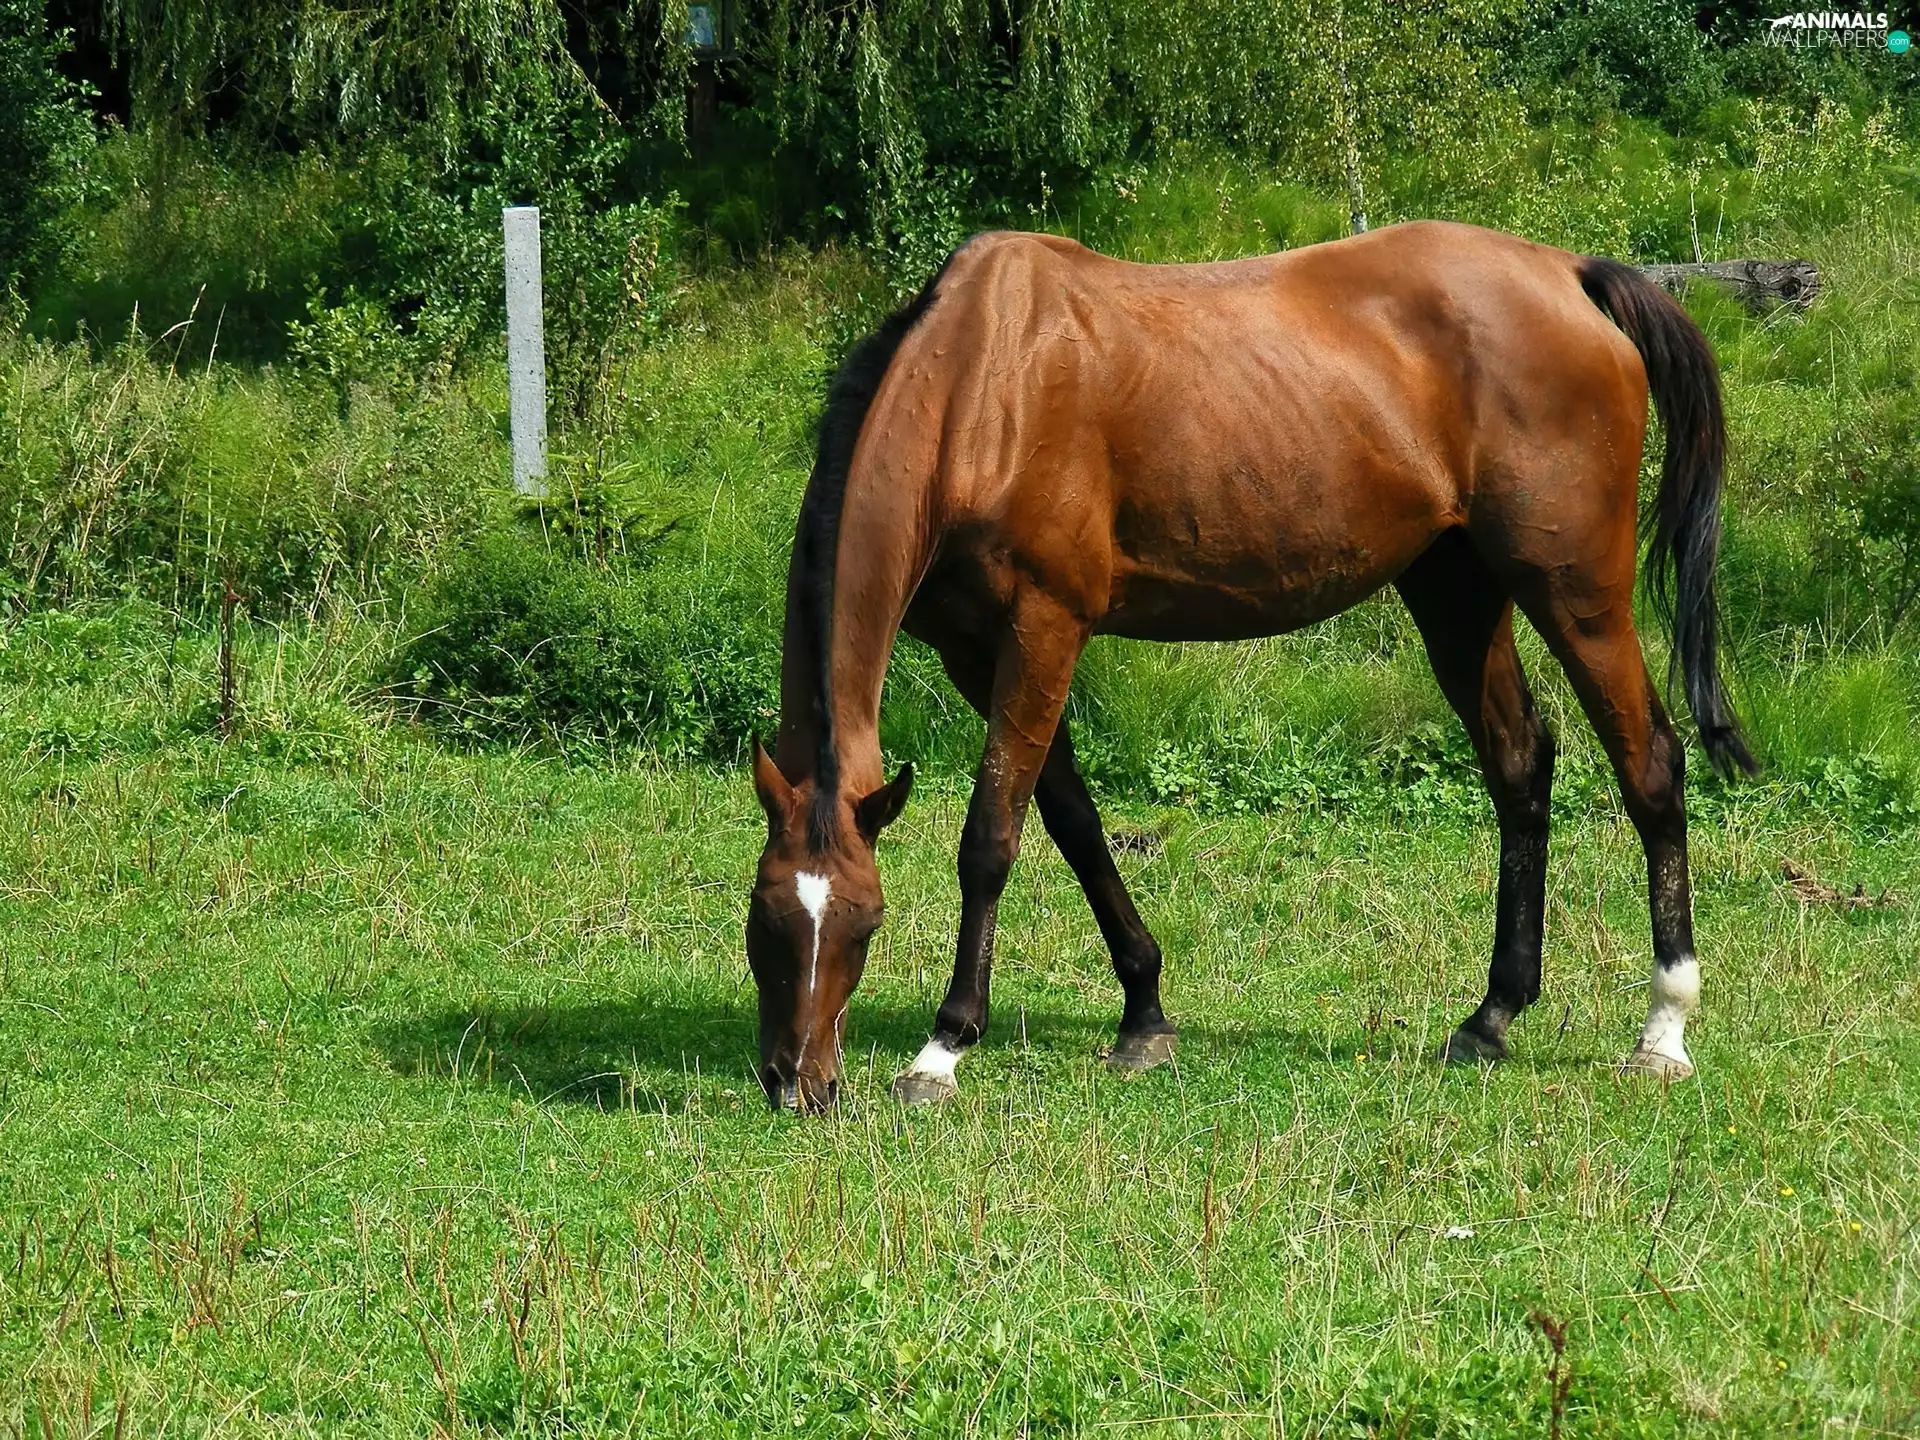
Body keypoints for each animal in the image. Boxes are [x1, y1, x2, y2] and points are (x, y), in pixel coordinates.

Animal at [745, 220, 1754, 1112]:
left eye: (864, 923)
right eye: (764, 919)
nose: (797, 1084)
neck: (983, 385)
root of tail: (1569, 274)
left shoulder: (1044, 629)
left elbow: (992, 837)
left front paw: (944, 1047)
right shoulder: (975, 649)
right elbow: (1075, 823)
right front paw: (1144, 1012)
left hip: (1575, 592)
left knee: (1649, 767)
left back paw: (1663, 1029)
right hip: (1456, 590)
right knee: (1520, 767)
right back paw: (1491, 1016)